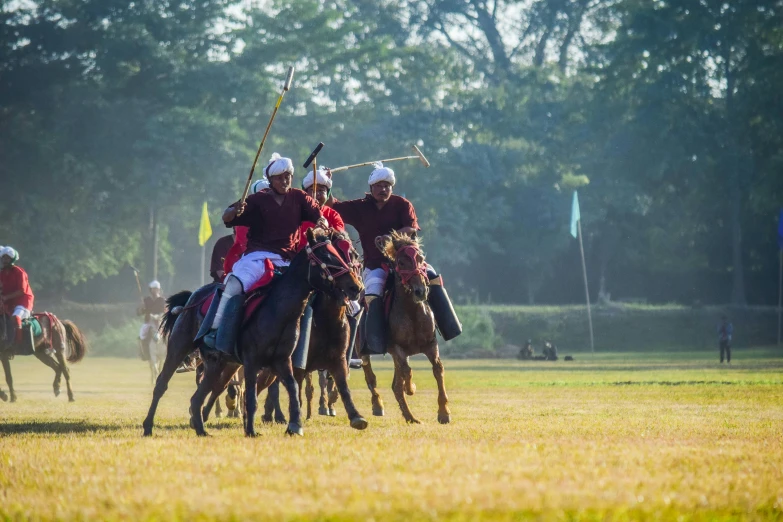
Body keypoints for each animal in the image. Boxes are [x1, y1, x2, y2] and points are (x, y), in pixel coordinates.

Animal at [142, 228, 362, 434]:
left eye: (349, 254)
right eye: (327, 257)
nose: (356, 287)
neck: (277, 311)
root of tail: (192, 297)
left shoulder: (285, 361)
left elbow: (295, 388)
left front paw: (295, 425)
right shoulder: (252, 361)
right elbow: (252, 395)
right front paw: (251, 429)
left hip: (218, 362)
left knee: (204, 391)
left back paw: (201, 428)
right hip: (179, 348)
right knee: (162, 384)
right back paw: (149, 426)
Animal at [362, 232, 454, 422]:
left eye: (420, 259)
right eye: (401, 262)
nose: (421, 291)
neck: (411, 311)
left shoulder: (430, 344)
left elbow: (438, 369)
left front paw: (444, 412)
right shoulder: (396, 348)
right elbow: (406, 372)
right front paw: (410, 387)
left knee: (394, 384)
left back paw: (410, 417)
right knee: (370, 375)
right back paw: (379, 405)